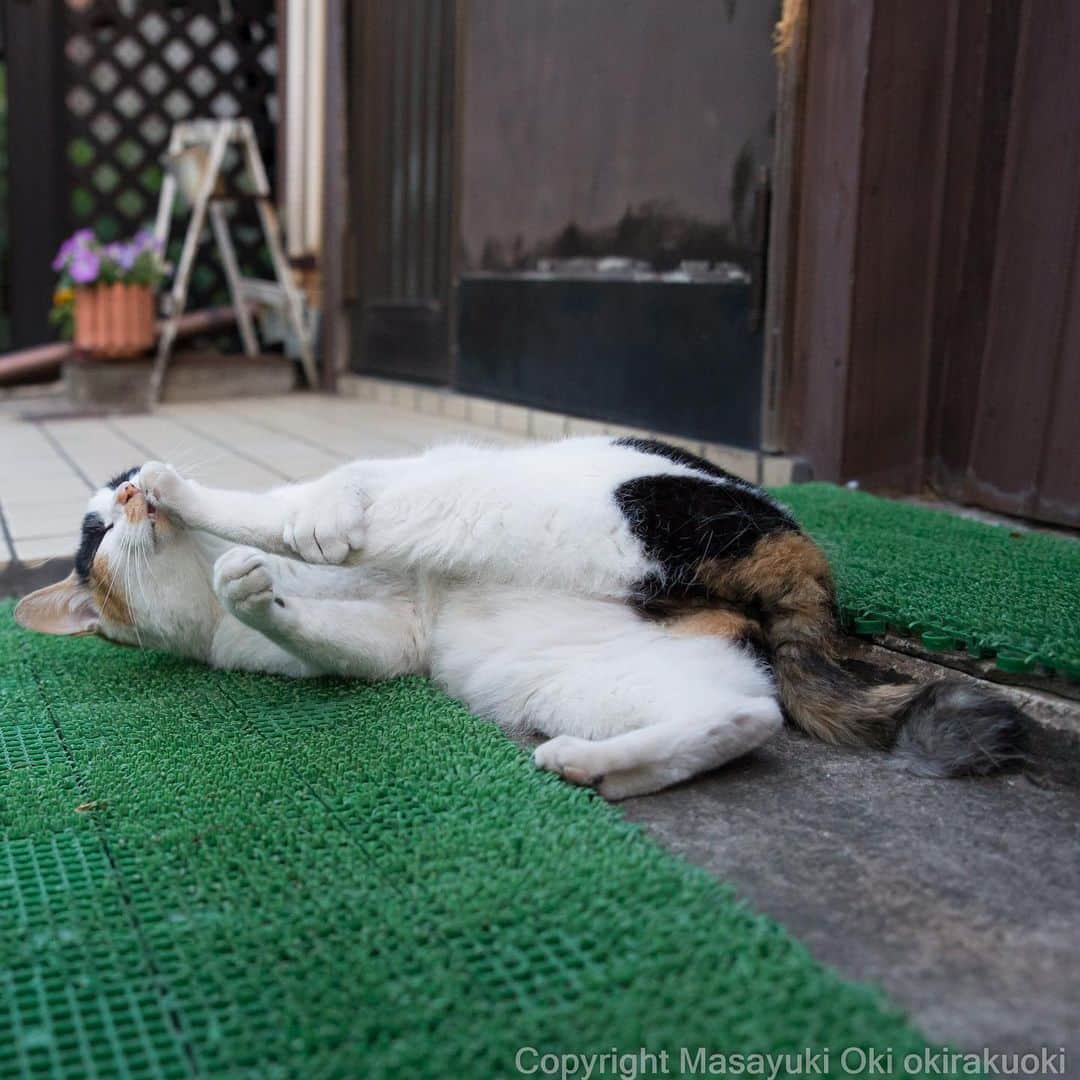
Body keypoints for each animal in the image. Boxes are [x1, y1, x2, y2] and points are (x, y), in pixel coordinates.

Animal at [19, 434, 1028, 799]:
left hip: (478, 493)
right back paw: (603, 768)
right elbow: (309, 626)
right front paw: (253, 592)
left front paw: (203, 514)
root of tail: (791, 545)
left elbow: (315, 502)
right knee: (747, 715)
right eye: (97, 534)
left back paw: (209, 496)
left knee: (341, 503)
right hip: (575, 666)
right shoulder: (381, 647)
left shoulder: (391, 492)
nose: (125, 489)